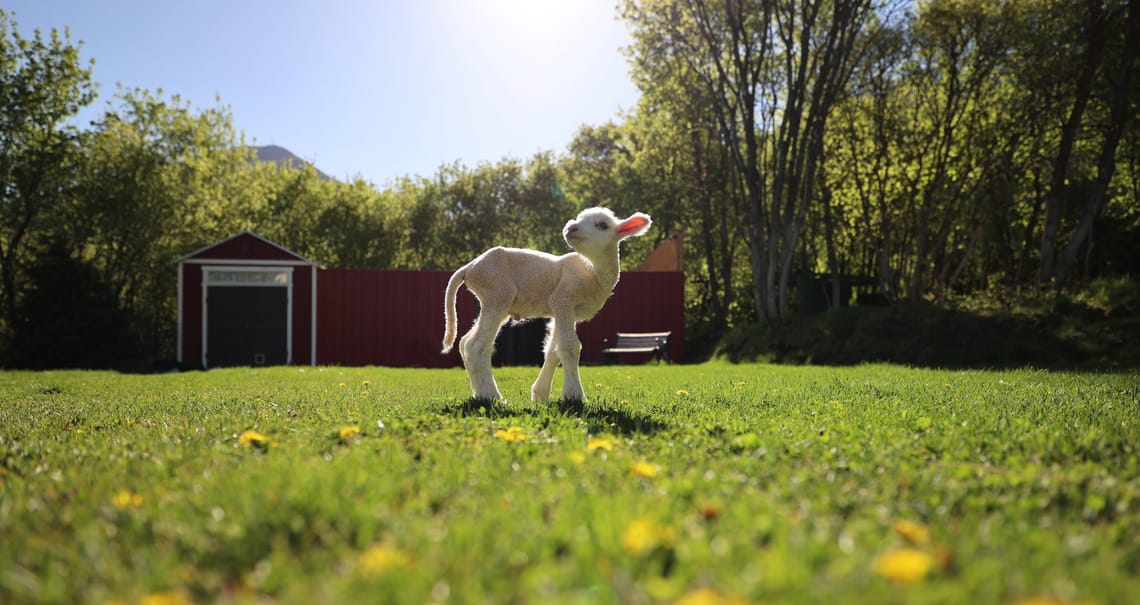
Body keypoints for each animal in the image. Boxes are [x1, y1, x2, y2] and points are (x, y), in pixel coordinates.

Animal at [442, 207, 652, 402]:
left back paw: (479, 393)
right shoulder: (563, 298)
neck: (592, 273)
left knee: (465, 342)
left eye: (603, 225)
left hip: (493, 298)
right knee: (477, 345)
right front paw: (574, 395)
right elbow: (570, 346)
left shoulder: (564, 309)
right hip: (497, 292)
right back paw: (492, 395)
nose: (571, 228)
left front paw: (540, 395)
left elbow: (553, 351)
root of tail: (468, 268)